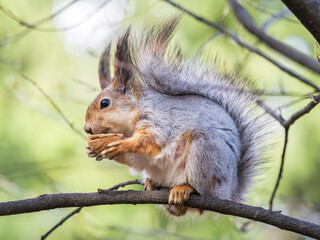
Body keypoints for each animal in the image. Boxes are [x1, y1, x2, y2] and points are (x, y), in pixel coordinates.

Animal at [84, 16, 276, 216]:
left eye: (105, 103)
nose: (87, 128)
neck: (130, 123)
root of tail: (229, 191)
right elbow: (136, 160)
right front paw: (95, 149)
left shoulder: (159, 121)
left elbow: (151, 143)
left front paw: (118, 144)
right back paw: (154, 185)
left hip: (205, 153)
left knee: (203, 189)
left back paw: (185, 189)